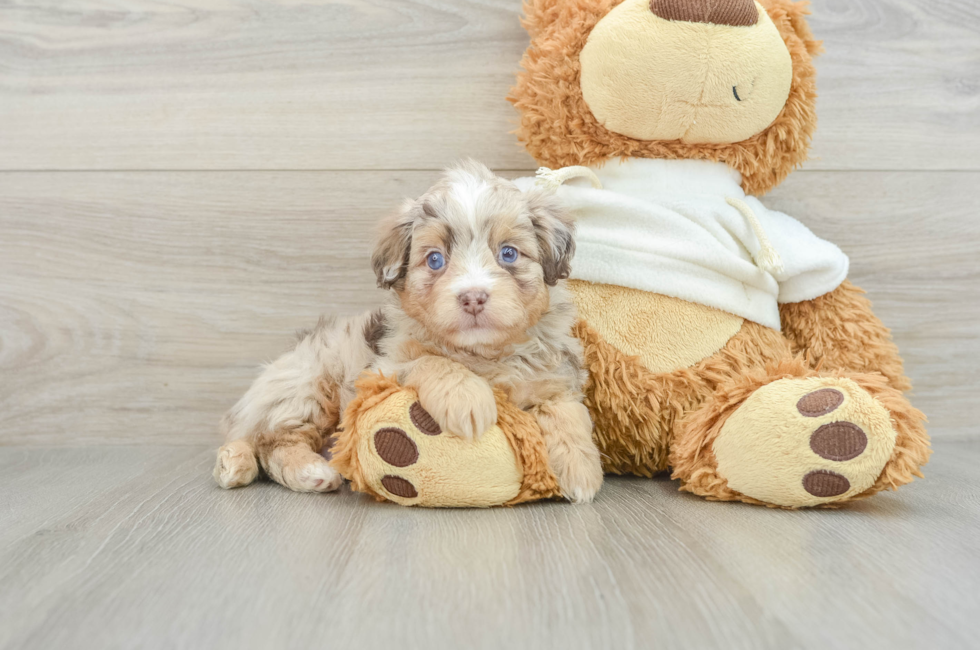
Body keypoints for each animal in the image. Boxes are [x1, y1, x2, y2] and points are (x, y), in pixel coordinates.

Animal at [216, 158, 604, 502]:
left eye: (508, 254)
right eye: (435, 260)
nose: (473, 297)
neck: (482, 354)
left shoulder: (555, 373)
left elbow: (567, 411)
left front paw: (580, 470)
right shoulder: (383, 367)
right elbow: (433, 362)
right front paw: (468, 399)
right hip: (308, 387)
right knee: (272, 441)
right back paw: (310, 471)